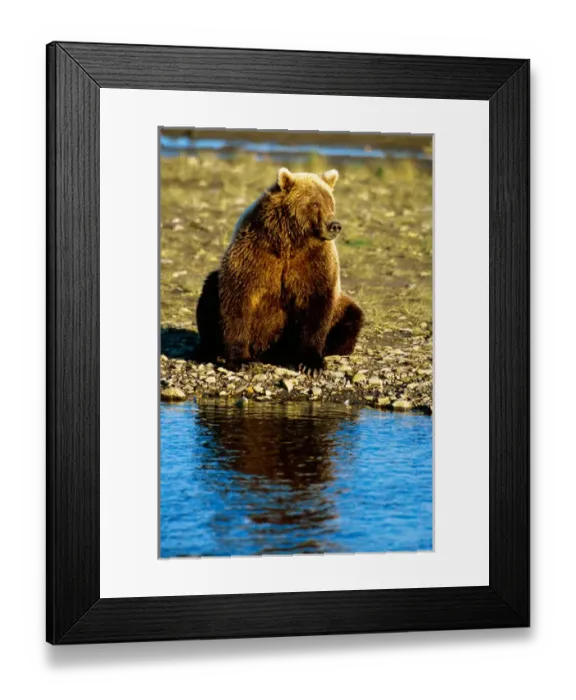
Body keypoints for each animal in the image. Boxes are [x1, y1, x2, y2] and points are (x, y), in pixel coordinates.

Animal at [196, 167, 364, 373]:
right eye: (315, 203)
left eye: (331, 203)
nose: (334, 225)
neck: (290, 242)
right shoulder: (255, 253)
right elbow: (237, 299)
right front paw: (241, 360)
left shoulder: (315, 261)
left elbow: (317, 304)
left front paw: (311, 363)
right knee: (209, 294)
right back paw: (210, 350)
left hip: (341, 310)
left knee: (352, 316)